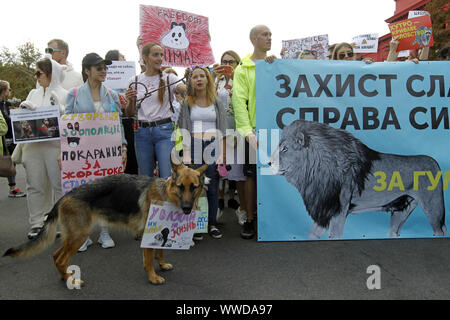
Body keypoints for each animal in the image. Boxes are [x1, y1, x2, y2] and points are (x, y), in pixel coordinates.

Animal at [3, 164, 208, 286]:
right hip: (79, 236)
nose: (188, 208)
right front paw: (152, 277)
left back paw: (65, 276)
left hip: (73, 237)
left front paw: (162, 265)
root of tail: (64, 197)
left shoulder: (155, 233)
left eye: (194, 187)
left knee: (55, 256)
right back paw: (71, 280)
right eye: (181, 187)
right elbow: (150, 259)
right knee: (60, 258)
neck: (166, 194)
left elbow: (159, 252)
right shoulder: (148, 233)